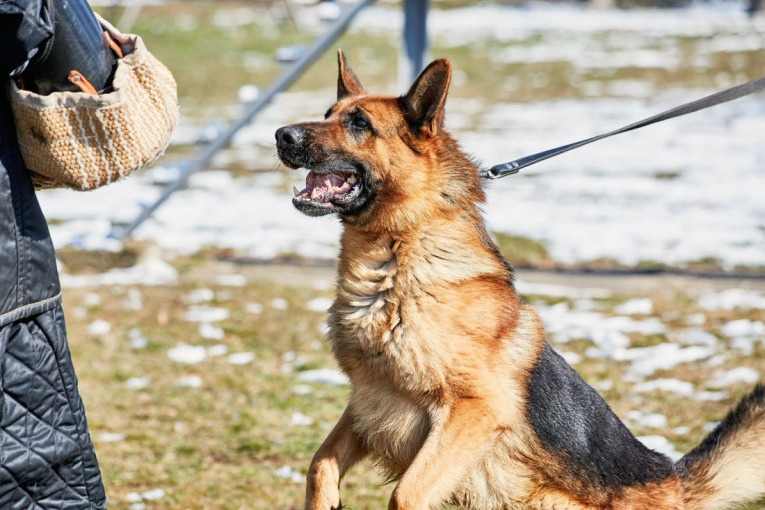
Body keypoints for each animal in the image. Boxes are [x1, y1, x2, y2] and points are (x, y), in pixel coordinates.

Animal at [274, 50, 764, 510]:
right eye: (327, 114)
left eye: (359, 123)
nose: (281, 135)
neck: (395, 258)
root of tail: (674, 479)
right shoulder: (368, 402)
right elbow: (319, 464)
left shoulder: (472, 410)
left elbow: (406, 494)